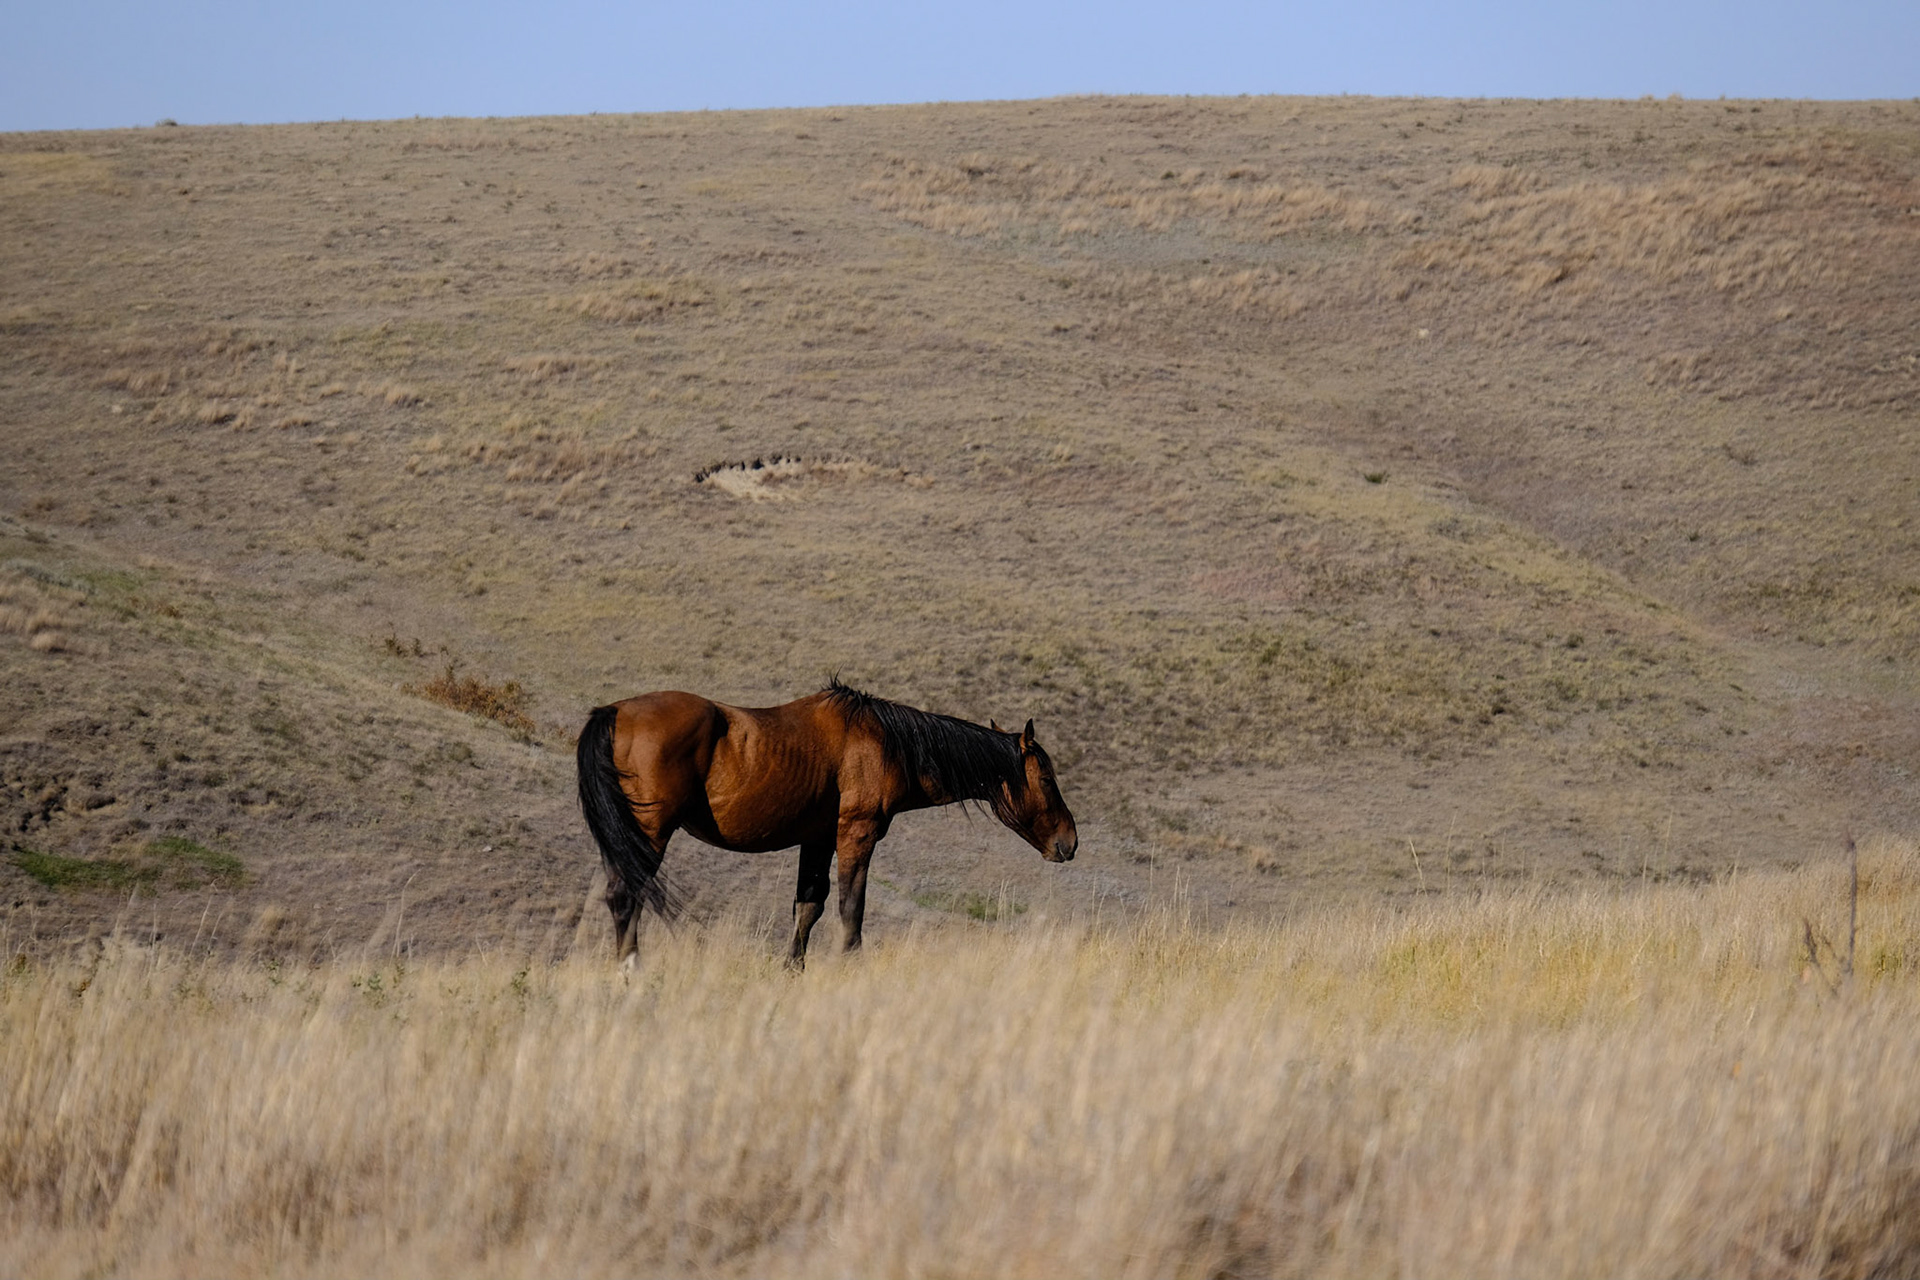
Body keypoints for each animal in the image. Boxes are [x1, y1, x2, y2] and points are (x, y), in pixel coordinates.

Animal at [575, 678, 1078, 968]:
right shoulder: (857, 834)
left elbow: (808, 909)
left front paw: (792, 971)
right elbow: (850, 910)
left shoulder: (817, 841)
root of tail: (614, 712)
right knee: (626, 897)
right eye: (1047, 778)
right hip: (648, 834)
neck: (884, 740)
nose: (1069, 842)